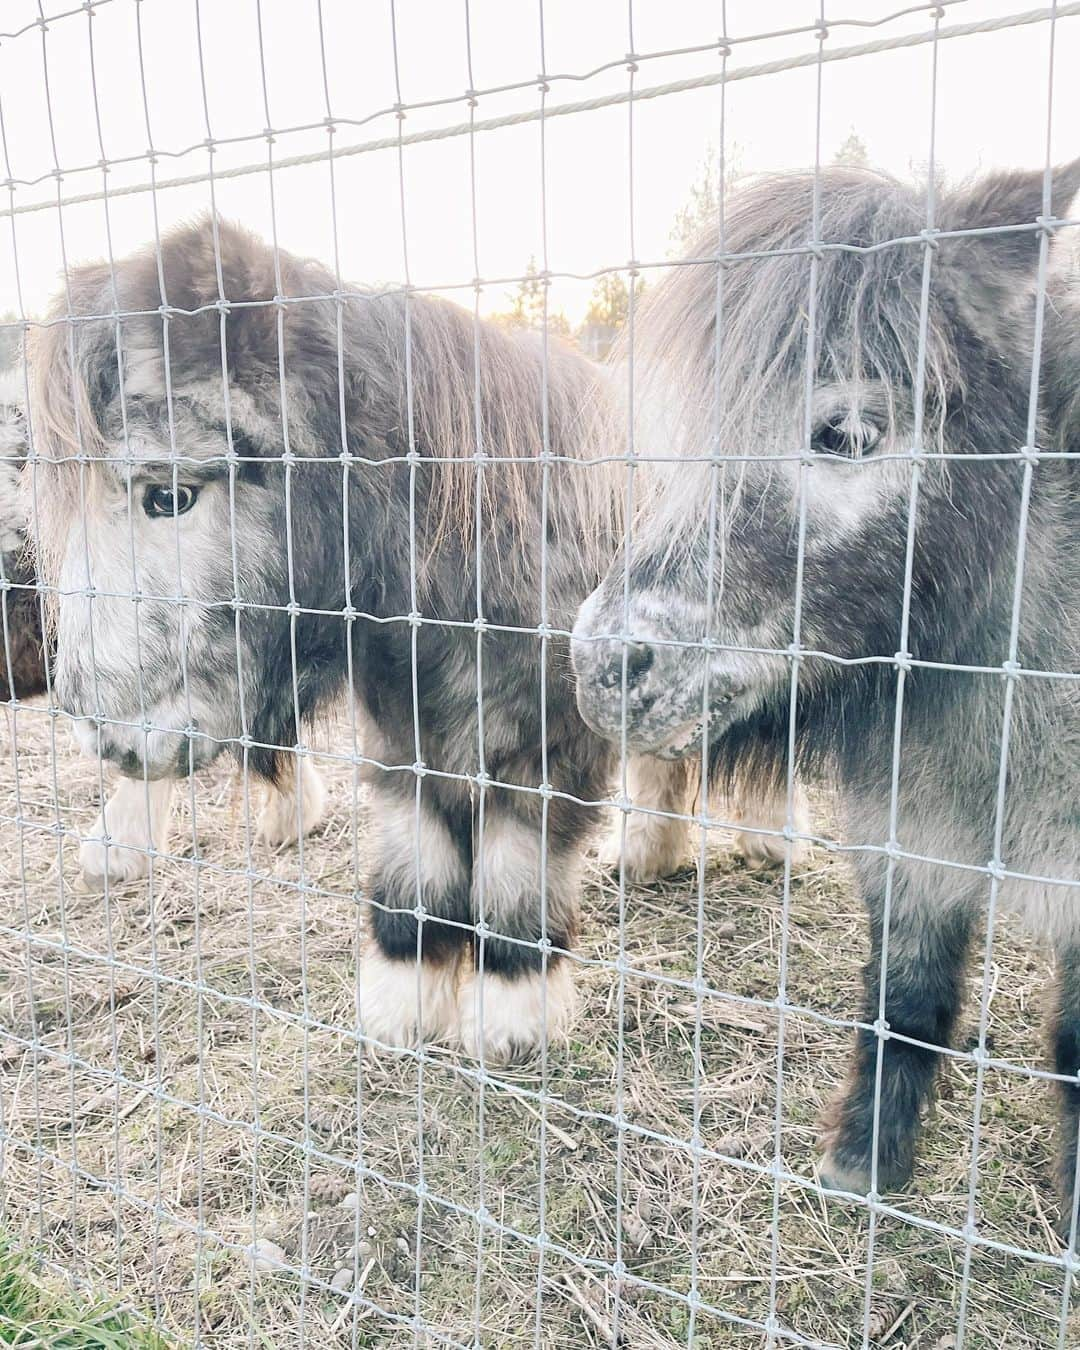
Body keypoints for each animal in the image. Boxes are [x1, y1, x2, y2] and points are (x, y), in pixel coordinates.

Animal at [31, 216, 691, 1063]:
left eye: (169, 497)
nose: (100, 733)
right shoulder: (406, 740)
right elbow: (419, 867)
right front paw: (404, 1004)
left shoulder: (546, 747)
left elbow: (516, 869)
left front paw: (509, 1017)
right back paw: (646, 859)